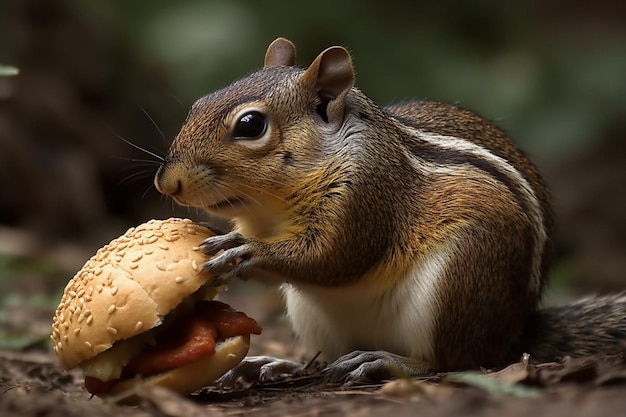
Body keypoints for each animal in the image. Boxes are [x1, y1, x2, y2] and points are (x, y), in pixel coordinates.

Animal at [154, 38, 624, 380]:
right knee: (327, 357)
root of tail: (514, 333)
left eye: (250, 125)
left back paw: (386, 361)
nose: (167, 182)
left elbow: (334, 258)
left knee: (451, 360)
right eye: (198, 103)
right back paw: (281, 364)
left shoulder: (368, 195)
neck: (271, 210)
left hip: (462, 275)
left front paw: (250, 252)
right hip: (313, 317)